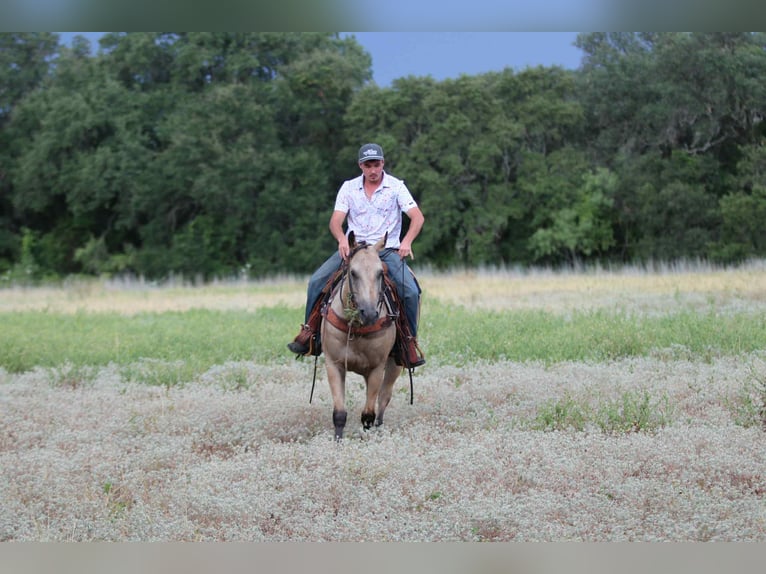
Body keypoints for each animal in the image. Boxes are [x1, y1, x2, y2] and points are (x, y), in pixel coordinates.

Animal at [320, 232, 402, 439]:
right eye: (353, 272)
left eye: (380, 273)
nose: (370, 313)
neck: (356, 327)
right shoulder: (333, 364)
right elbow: (339, 414)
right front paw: (338, 441)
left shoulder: (376, 368)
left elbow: (368, 416)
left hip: (395, 365)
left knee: (383, 399)